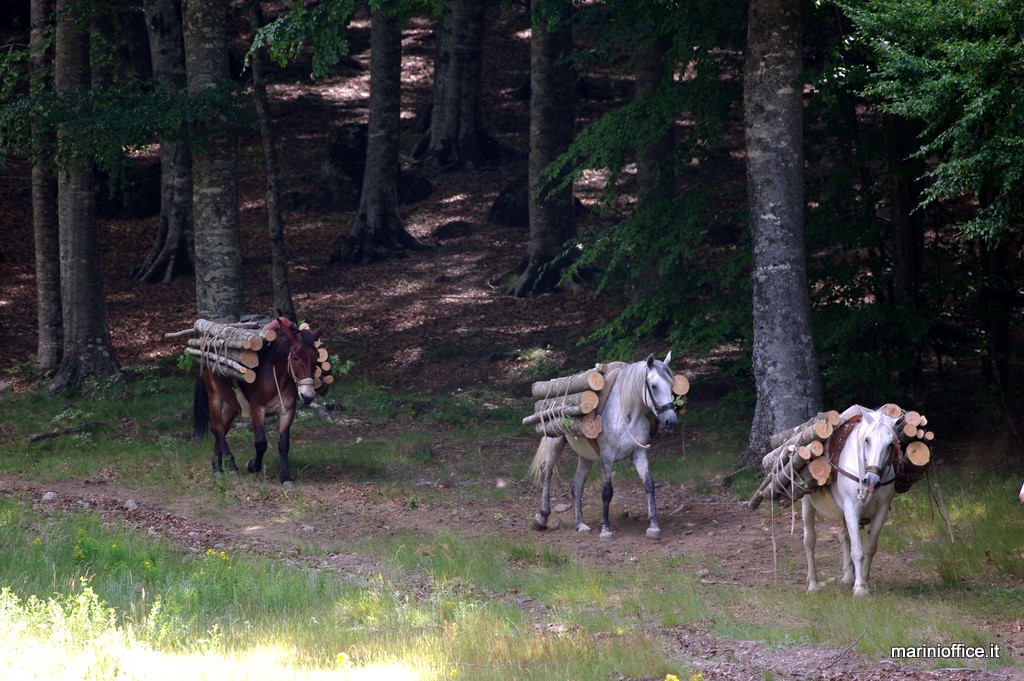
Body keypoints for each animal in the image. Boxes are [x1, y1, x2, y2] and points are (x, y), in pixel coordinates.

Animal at [193, 318, 328, 487]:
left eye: (316, 357)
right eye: (295, 357)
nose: (308, 396)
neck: (278, 378)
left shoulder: (287, 410)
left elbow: (284, 444)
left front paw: (285, 476)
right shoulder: (257, 409)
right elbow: (261, 442)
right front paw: (253, 465)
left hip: (233, 403)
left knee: (221, 427)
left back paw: (217, 465)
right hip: (214, 395)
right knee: (217, 427)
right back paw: (230, 466)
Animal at [530, 353, 678, 540]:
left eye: (672, 385)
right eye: (654, 386)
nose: (670, 421)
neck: (627, 413)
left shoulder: (639, 453)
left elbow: (649, 485)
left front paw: (653, 526)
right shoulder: (607, 457)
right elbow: (607, 492)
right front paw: (605, 529)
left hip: (585, 456)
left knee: (576, 485)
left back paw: (581, 524)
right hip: (555, 443)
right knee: (546, 471)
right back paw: (542, 517)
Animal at [802, 406, 898, 596]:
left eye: (890, 444)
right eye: (867, 440)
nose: (871, 481)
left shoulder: (882, 510)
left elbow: (870, 548)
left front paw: (863, 581)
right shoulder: (852, 508)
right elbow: (857, 550)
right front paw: (860, 589)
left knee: (843, 534)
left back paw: (847, 577)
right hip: (807, 504)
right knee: (809, 541)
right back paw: (813, 584)